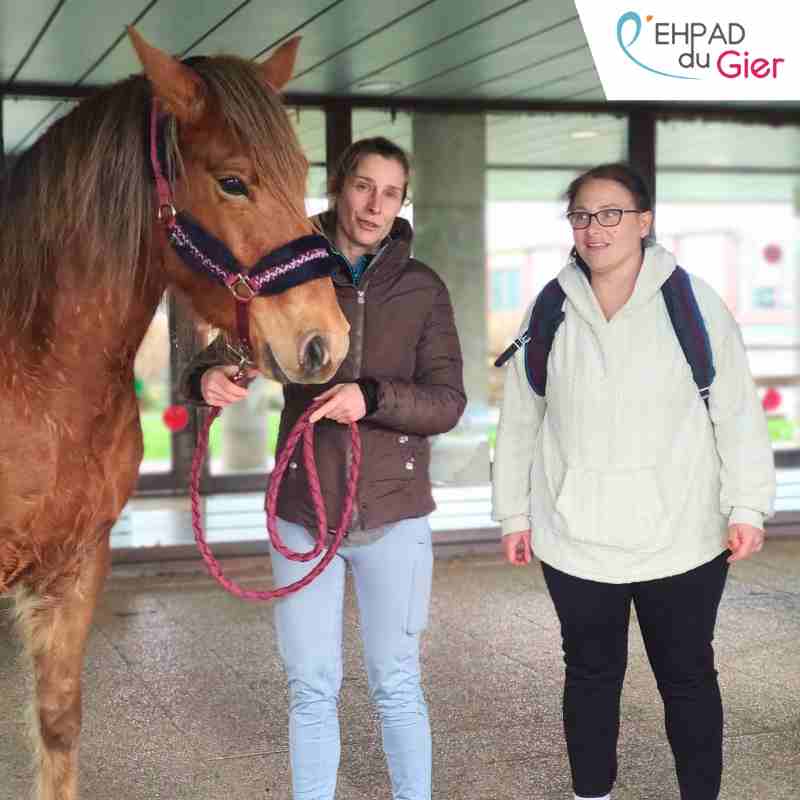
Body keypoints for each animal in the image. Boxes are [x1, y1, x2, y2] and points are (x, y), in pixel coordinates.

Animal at [0, 29, 350, 800]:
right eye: (232, 182)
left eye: (303, 171)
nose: (325, 342)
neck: (37, 373)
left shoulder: (76, 566)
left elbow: (57, 724)